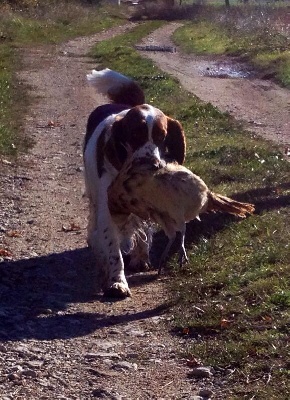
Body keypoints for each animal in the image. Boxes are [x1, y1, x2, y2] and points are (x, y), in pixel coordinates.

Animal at [82, 69, 187, 298]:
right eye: (135, 135)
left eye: (161, 136)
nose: (152, 164)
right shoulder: (108, 209)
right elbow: (113, 249)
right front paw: (117, 282)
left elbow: (145, 229)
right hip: (93, 192)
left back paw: (140, 256)